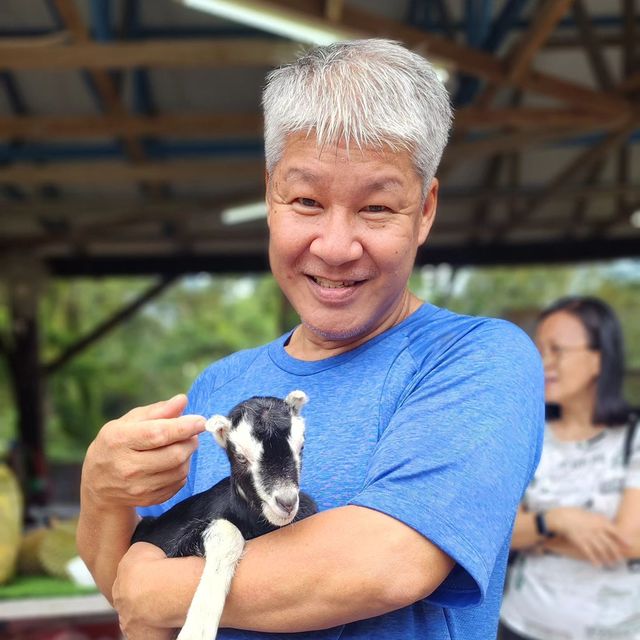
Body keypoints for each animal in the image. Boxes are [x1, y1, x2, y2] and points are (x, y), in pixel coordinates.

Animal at [131, 390, 318, 640]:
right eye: (241, 457)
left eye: (302, 447)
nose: (286, 502)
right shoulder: (179, 545)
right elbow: (228, 531)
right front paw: (196, 630)